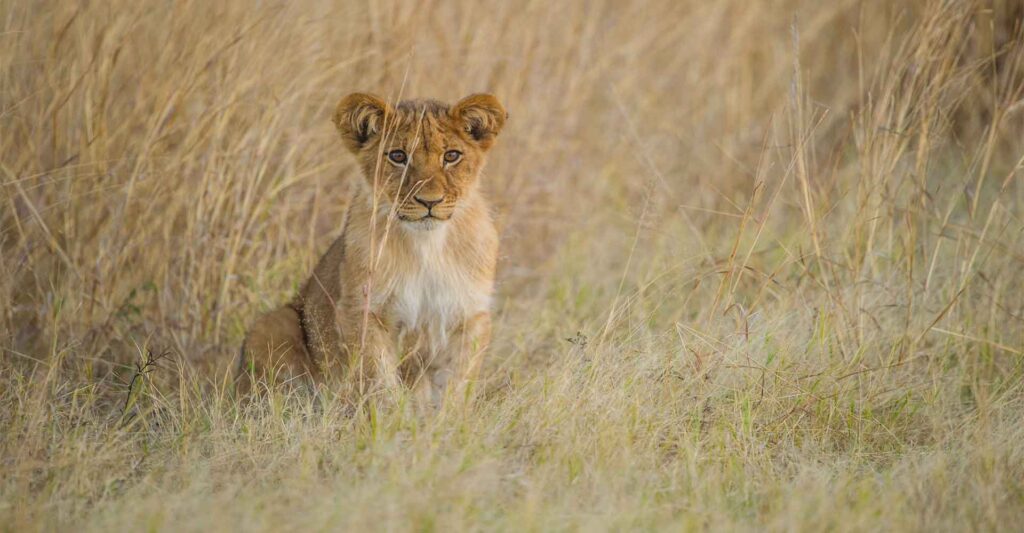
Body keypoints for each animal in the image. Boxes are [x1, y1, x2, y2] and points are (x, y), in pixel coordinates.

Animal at [237, 93, 506, 407]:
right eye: (398, 156)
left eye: (451, 156)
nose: (429, 201)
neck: (427, 247)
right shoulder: (362, 312)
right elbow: (379, 383)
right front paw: (391, 417)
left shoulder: (469, 316)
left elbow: (455, 386)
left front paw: (447, 418)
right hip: (272, 324)